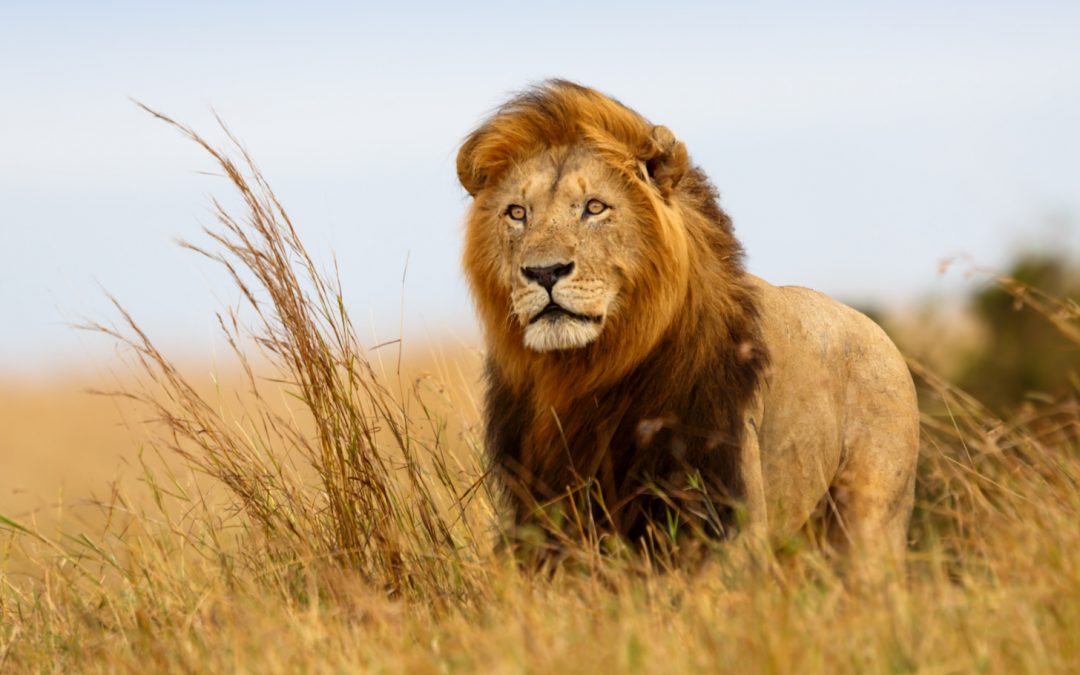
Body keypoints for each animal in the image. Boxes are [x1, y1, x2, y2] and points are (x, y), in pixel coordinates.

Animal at [456, 80, 919, 564]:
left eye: (594, 207)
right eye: (516, 213)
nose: (544, 272)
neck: (586, 372)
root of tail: (880, 335)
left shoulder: (724, 504)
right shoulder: (541, 509)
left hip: (871, 520)